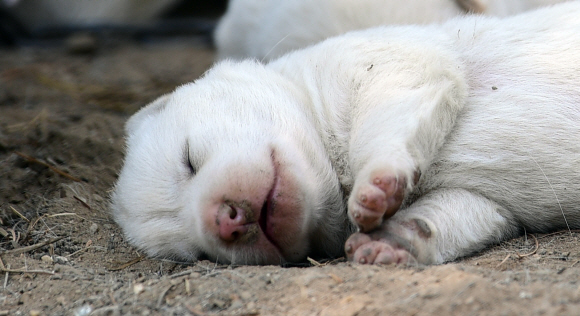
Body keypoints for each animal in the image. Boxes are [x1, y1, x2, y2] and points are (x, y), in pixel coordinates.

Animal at [112, 3, 580, 266]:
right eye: (196, 254)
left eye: (189, 159)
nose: (222, 222)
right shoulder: (486, 203)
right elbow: (456, 213)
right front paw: (389, 243)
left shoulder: (388, 61)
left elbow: (388, 112)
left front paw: (375, 187)